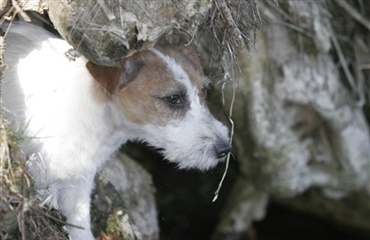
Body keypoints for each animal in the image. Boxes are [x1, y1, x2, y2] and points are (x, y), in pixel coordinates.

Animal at [1, 21, 230, 239]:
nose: (225, 149)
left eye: (204, 91)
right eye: (174, 98)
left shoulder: (78, 189)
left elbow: (80, 229)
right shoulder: (41, 178)